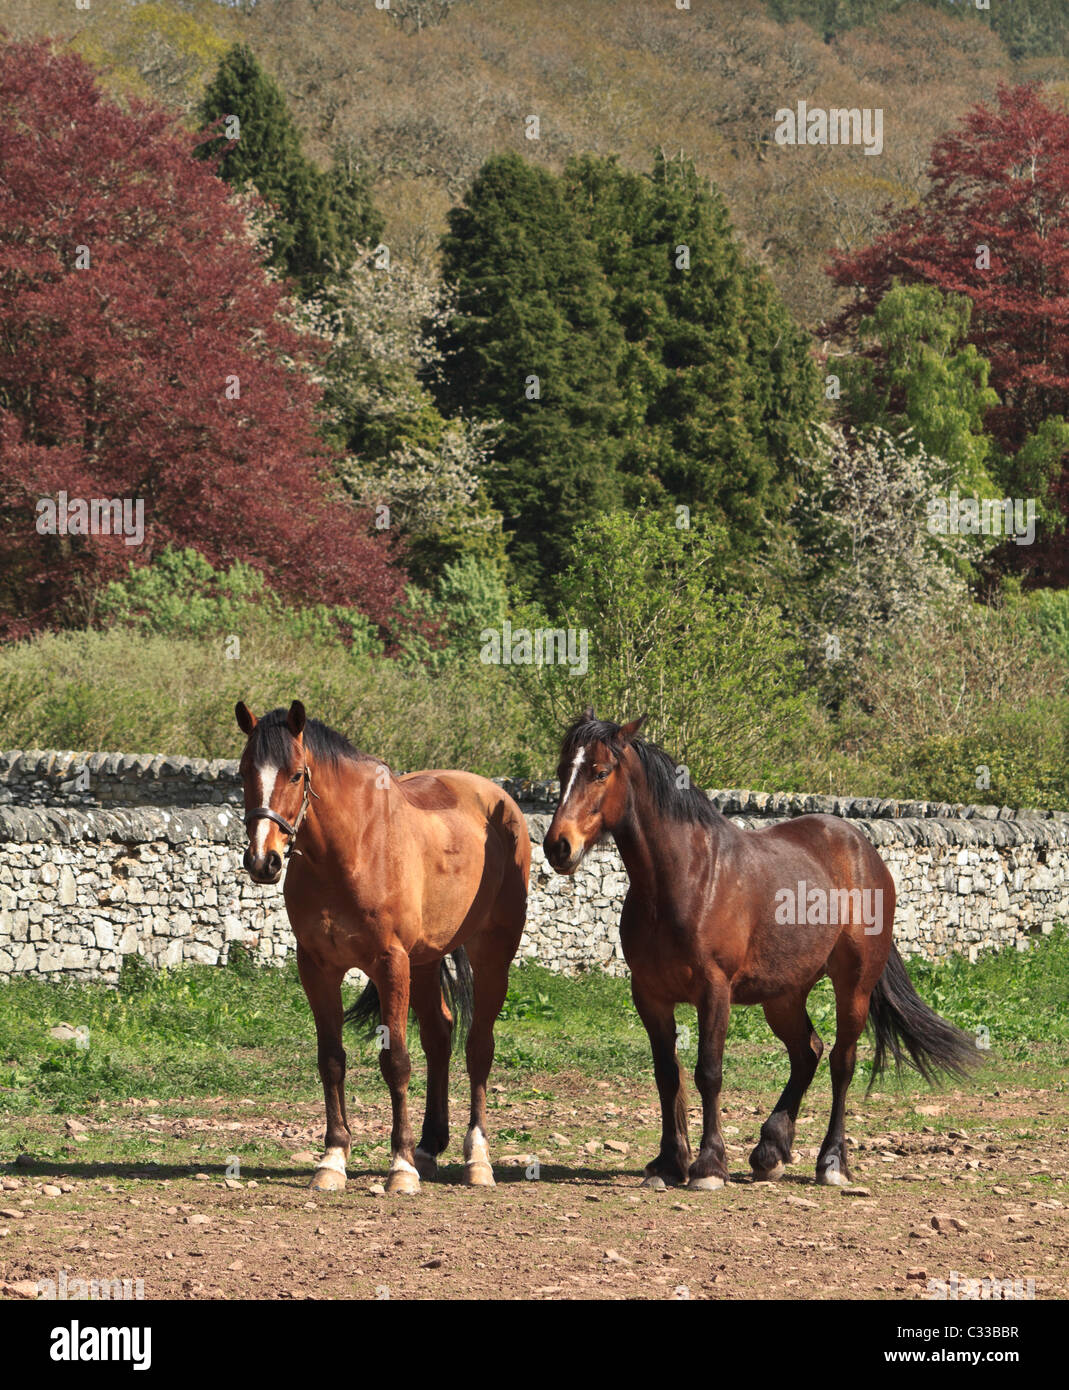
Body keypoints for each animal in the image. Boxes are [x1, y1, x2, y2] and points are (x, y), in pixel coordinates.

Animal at [236, 706, 528, 1195]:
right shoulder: (317, 967)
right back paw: (429, 1147)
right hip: (425, 961)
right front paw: (334, 1159)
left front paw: (400, 1167)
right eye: (243, 773)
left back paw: (476, 1158)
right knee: (440, 1035)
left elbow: (396, 1062)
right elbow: (331, 1060)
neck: (350, 848)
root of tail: (499, 800)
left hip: (492, 955)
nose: (264, 860)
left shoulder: (391, 964)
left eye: (296, 774)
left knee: (478, 1047)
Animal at [542, 711, 978, 1189]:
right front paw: (668, 1163)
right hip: (783, 995)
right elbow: (667, 1074)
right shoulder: (650, 995)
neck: (686, 878)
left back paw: (831, 1162)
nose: (558, 846)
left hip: (854, 988)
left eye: (600, 772)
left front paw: (709, 1166)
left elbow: (708, 1072)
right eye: (562, 771)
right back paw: (770, 1150)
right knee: (808, 1052)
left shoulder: (714, 991)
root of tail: (865, 851)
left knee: (841, 1063)